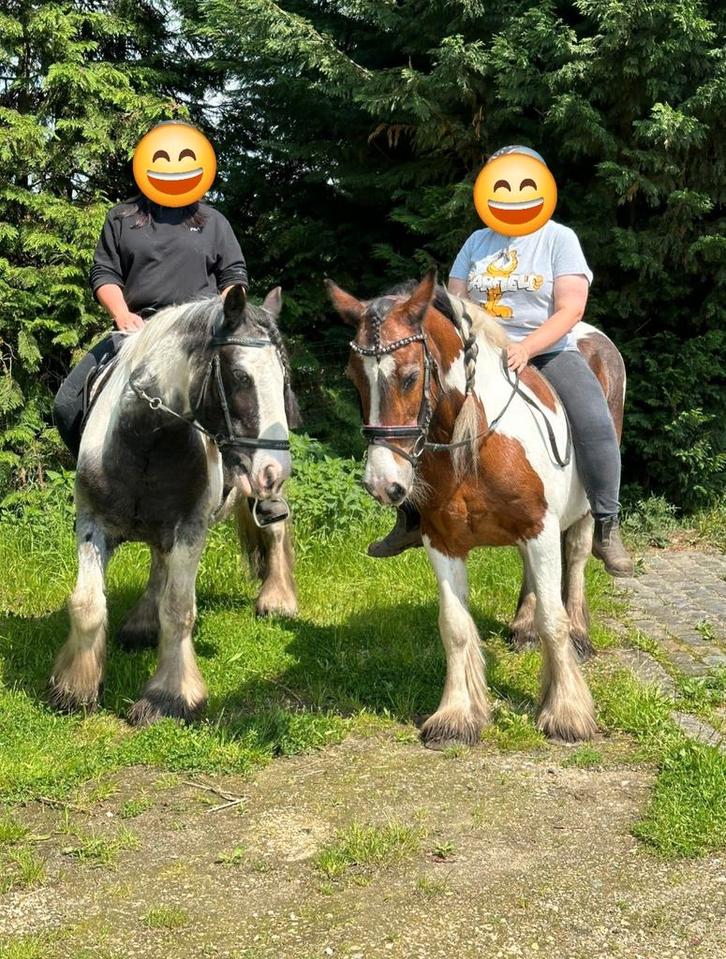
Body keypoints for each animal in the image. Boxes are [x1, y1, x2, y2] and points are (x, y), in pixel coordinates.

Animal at [49, 285, 300, 725]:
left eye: (283, 380)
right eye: (240, 377)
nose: (274, 470)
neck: (146, 439)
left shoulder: (191, 529)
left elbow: (179, 609)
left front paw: (169, 697)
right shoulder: (92, 524)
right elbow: (87, 604)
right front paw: (75, 688)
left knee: (274, 530)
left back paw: (277, 600)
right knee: (158, 561)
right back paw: (142, 623)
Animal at [327, 270, 625, 748]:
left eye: (410, 376)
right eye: (353, 378)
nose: (381, 484)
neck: (478, 440)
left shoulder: (541, 527)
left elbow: (554, 620)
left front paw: (566, 712)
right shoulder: (443, 541)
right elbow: (454, 626)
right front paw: (457, 715)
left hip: (579, 513)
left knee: (578, 559)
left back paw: (581, 634)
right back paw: (522, 627)